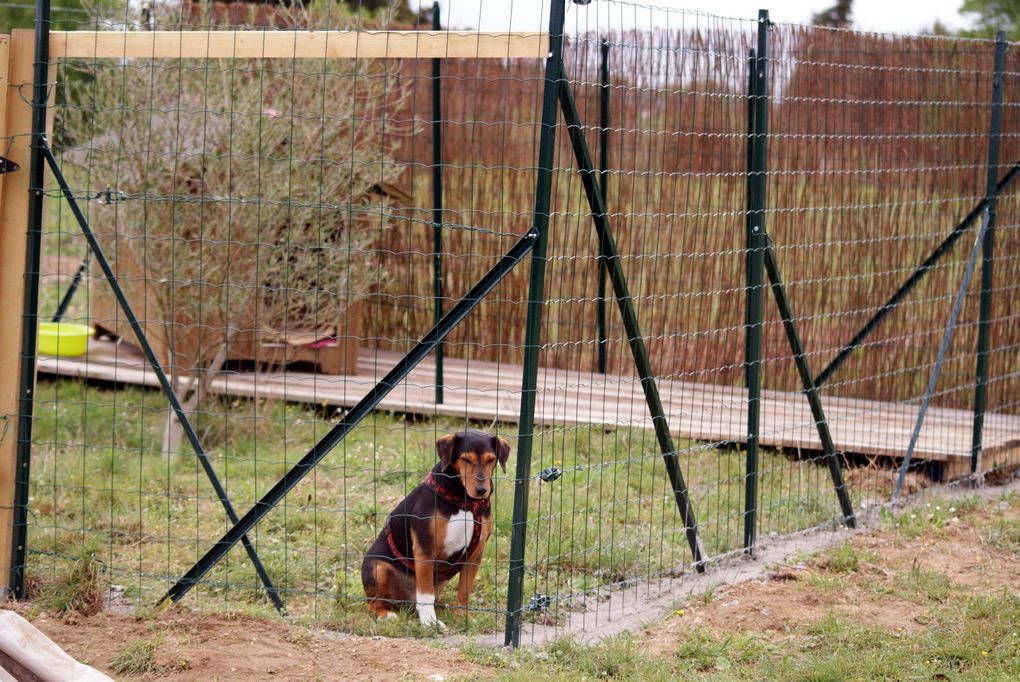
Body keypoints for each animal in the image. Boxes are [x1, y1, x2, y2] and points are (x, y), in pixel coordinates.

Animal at [363, 428, 514, 623]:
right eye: (466, 459)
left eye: (490, 459)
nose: (482, 490)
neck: (464, 503)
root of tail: (404, 602)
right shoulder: (425, 548)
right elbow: (426, 593)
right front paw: (430, 621)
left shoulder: (475, 554)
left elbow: (464, 591)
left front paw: (464, 617)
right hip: (377, 568)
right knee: (373, 603)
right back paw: (385, 614)